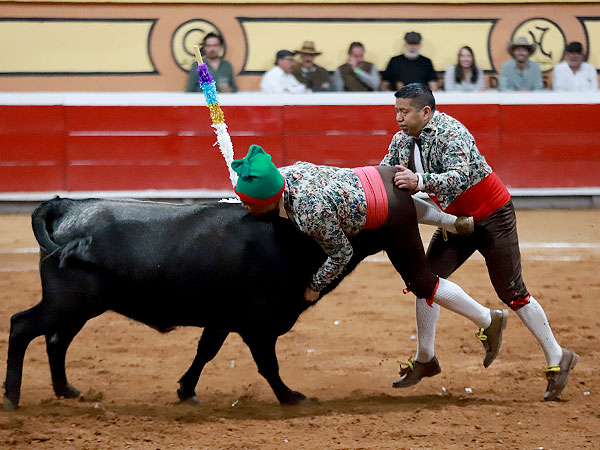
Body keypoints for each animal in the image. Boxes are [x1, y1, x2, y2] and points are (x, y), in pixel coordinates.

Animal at [3, 199, 394, 410]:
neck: (290, 240)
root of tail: (67, 205)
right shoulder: (258, 326)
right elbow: (268, 365)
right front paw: (291, 397)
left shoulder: (222, 320)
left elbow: (205, 351)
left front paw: (185, 390)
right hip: (68, 302)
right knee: (22, 326)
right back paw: (12, 397)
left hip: (77, 307)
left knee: (56, 340)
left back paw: (65, 390)